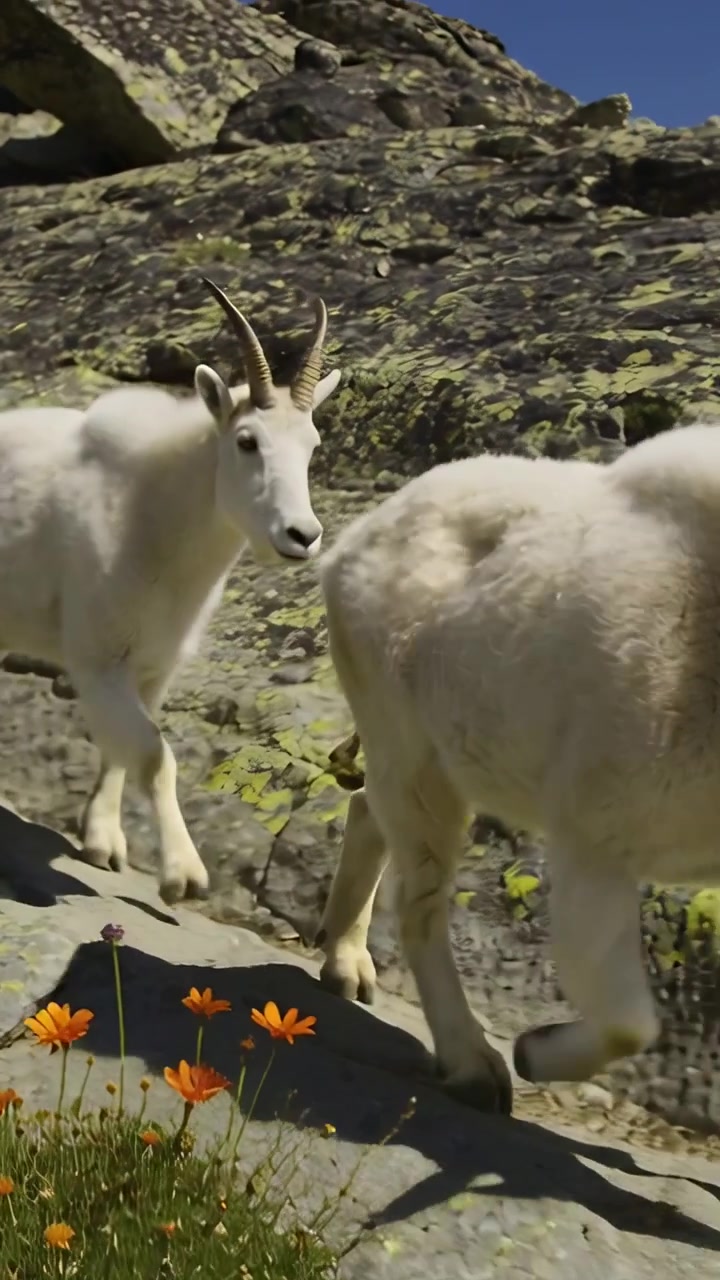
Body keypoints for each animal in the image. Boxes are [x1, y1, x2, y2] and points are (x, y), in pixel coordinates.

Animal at [0, 278, 341, 905]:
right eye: (247, 441)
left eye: (312, 443)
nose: (301, 535)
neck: (151, 520)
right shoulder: (98, 660)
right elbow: (156, 757)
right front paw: (184, 875)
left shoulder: (153, 667)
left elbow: (120, 750)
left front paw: (103, 841)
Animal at [315, 424, 720, 1113]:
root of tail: (352, 541)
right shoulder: (595, 837)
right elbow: (626, 1021)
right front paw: (534, 1049)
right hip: (411, 744)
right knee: (420, 898)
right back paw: (473, 1063)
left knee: (369, 808)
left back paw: (345, 962)